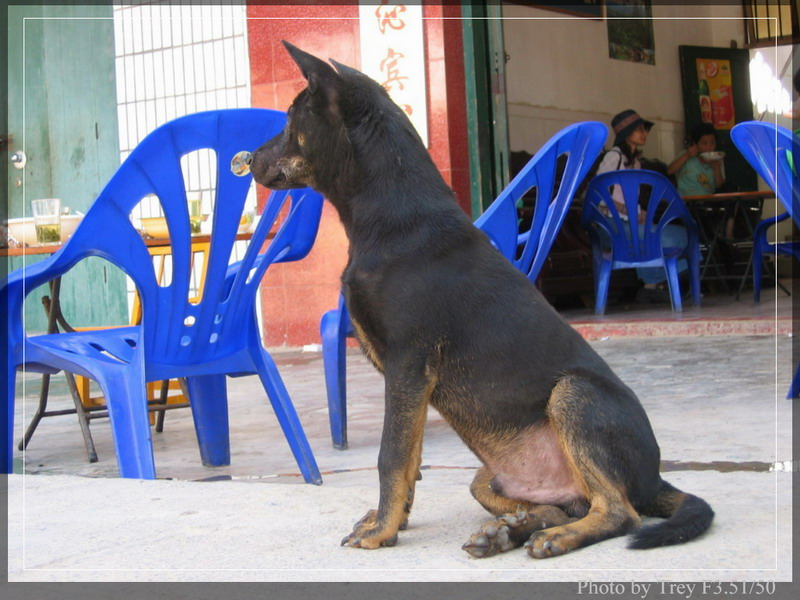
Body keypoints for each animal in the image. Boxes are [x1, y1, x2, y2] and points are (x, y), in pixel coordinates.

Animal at [250, 41, 714, 558]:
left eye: (290, 120)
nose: (247, 160)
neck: (393, 220)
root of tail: (656, 480)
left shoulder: (408, 364)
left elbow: (391, 454)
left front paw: (381, 531)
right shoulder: (408, 379)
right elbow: (411, 459)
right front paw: (396, 520)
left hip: (573, 395)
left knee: (618, 512)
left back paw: (554, 537)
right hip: (488, 476)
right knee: (560, 505)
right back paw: (510, 530)